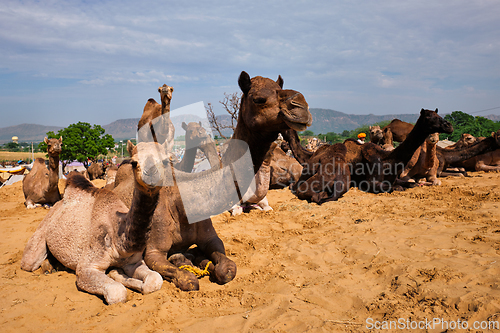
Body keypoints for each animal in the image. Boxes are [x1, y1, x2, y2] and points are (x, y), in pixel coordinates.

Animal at [20, 140, 170, 304]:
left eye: (166, 161)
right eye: (134, 162)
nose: (151, 175)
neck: (119, 239)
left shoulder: (134, 262)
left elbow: (155, 279)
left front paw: (117, 273)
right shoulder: (86, 268)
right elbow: (117, 292)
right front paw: (115, 276)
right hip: (41, 233)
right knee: (29, 262)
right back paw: (48, 267)